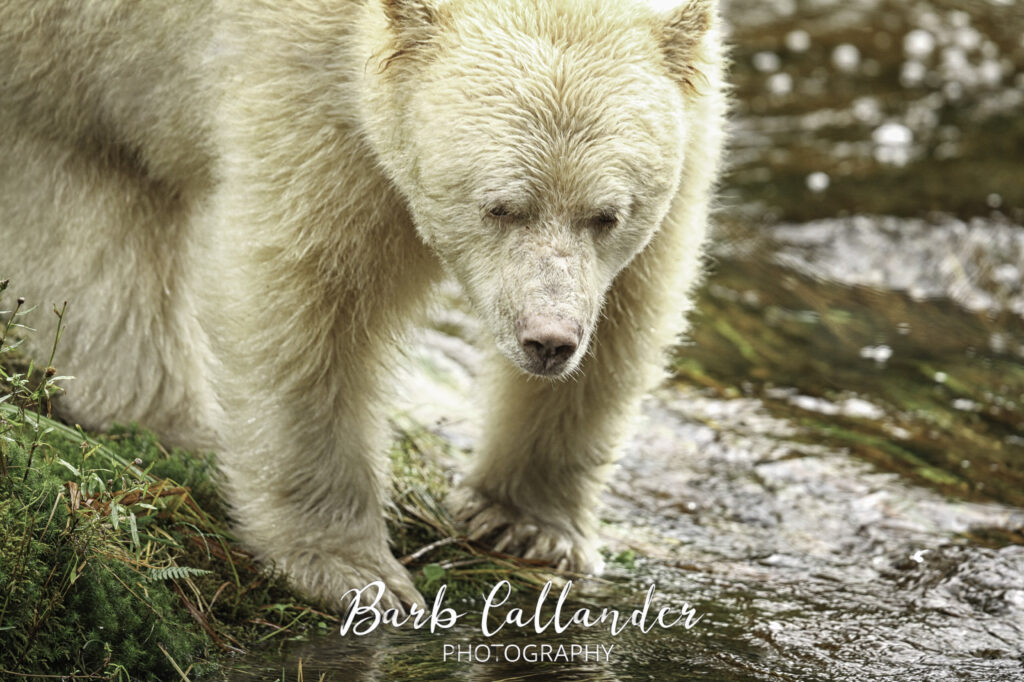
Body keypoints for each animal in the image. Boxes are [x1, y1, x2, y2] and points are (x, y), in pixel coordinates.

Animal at [0, 0, 727, 610]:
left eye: (606, 215)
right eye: (500, 207)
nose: (548, 341)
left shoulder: (685, 150)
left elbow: (633, 309)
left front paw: (527, 523)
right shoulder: (306, 88)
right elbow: (306, 302)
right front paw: (352, 571)